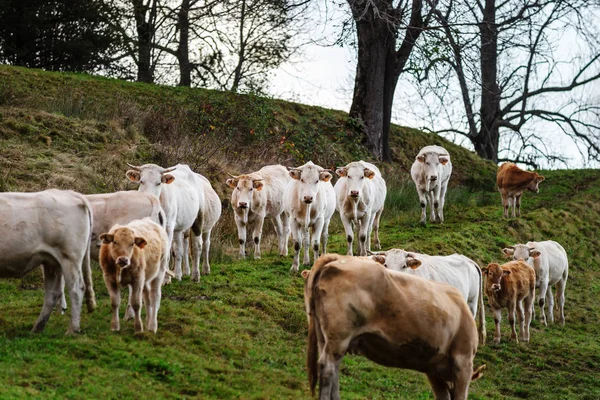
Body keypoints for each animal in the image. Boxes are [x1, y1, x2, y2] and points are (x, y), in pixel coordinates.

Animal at [0, 189, 95, 332]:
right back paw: (37, 328)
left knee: (76, 289)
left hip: (70, 257)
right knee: (53, 293)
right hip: (52, 261)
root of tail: (67, 192)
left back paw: (72, 329)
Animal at [302, 256, 486, 400]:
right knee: (327, 369)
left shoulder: (434, 370)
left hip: (325, 336)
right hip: (339, 336)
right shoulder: (463, 362)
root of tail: (336, 259)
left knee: (333, 372)